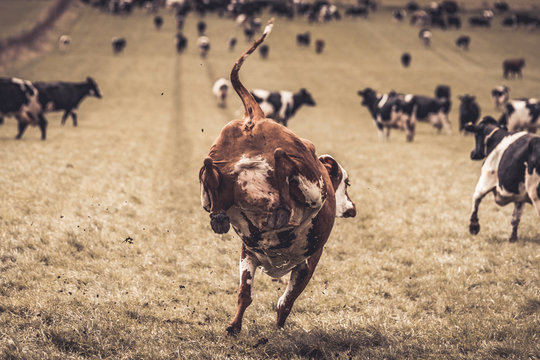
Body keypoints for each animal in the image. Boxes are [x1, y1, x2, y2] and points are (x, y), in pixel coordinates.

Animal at [197, 19, 354, 334]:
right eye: (347, 183)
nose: (352, 209)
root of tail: (256, 118)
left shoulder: (247, 254)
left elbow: (244, 295)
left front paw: (234, 326)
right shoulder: (308, 262)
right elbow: (286, 301)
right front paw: (278, 326)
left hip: (216, 177)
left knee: (209, 173)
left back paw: (219, 208)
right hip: (312, 186)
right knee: (285, 166)